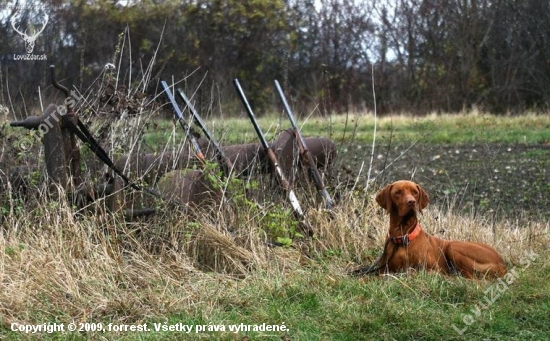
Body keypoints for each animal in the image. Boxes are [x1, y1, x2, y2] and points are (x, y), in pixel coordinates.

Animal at [356, 179, 512, 278]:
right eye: (398, 192)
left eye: (415, 192)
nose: (412, 202)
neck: (403, 236)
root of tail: (502, 263)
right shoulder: (383, 269)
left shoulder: (432, 268)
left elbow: (416, 272)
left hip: (453, 247)